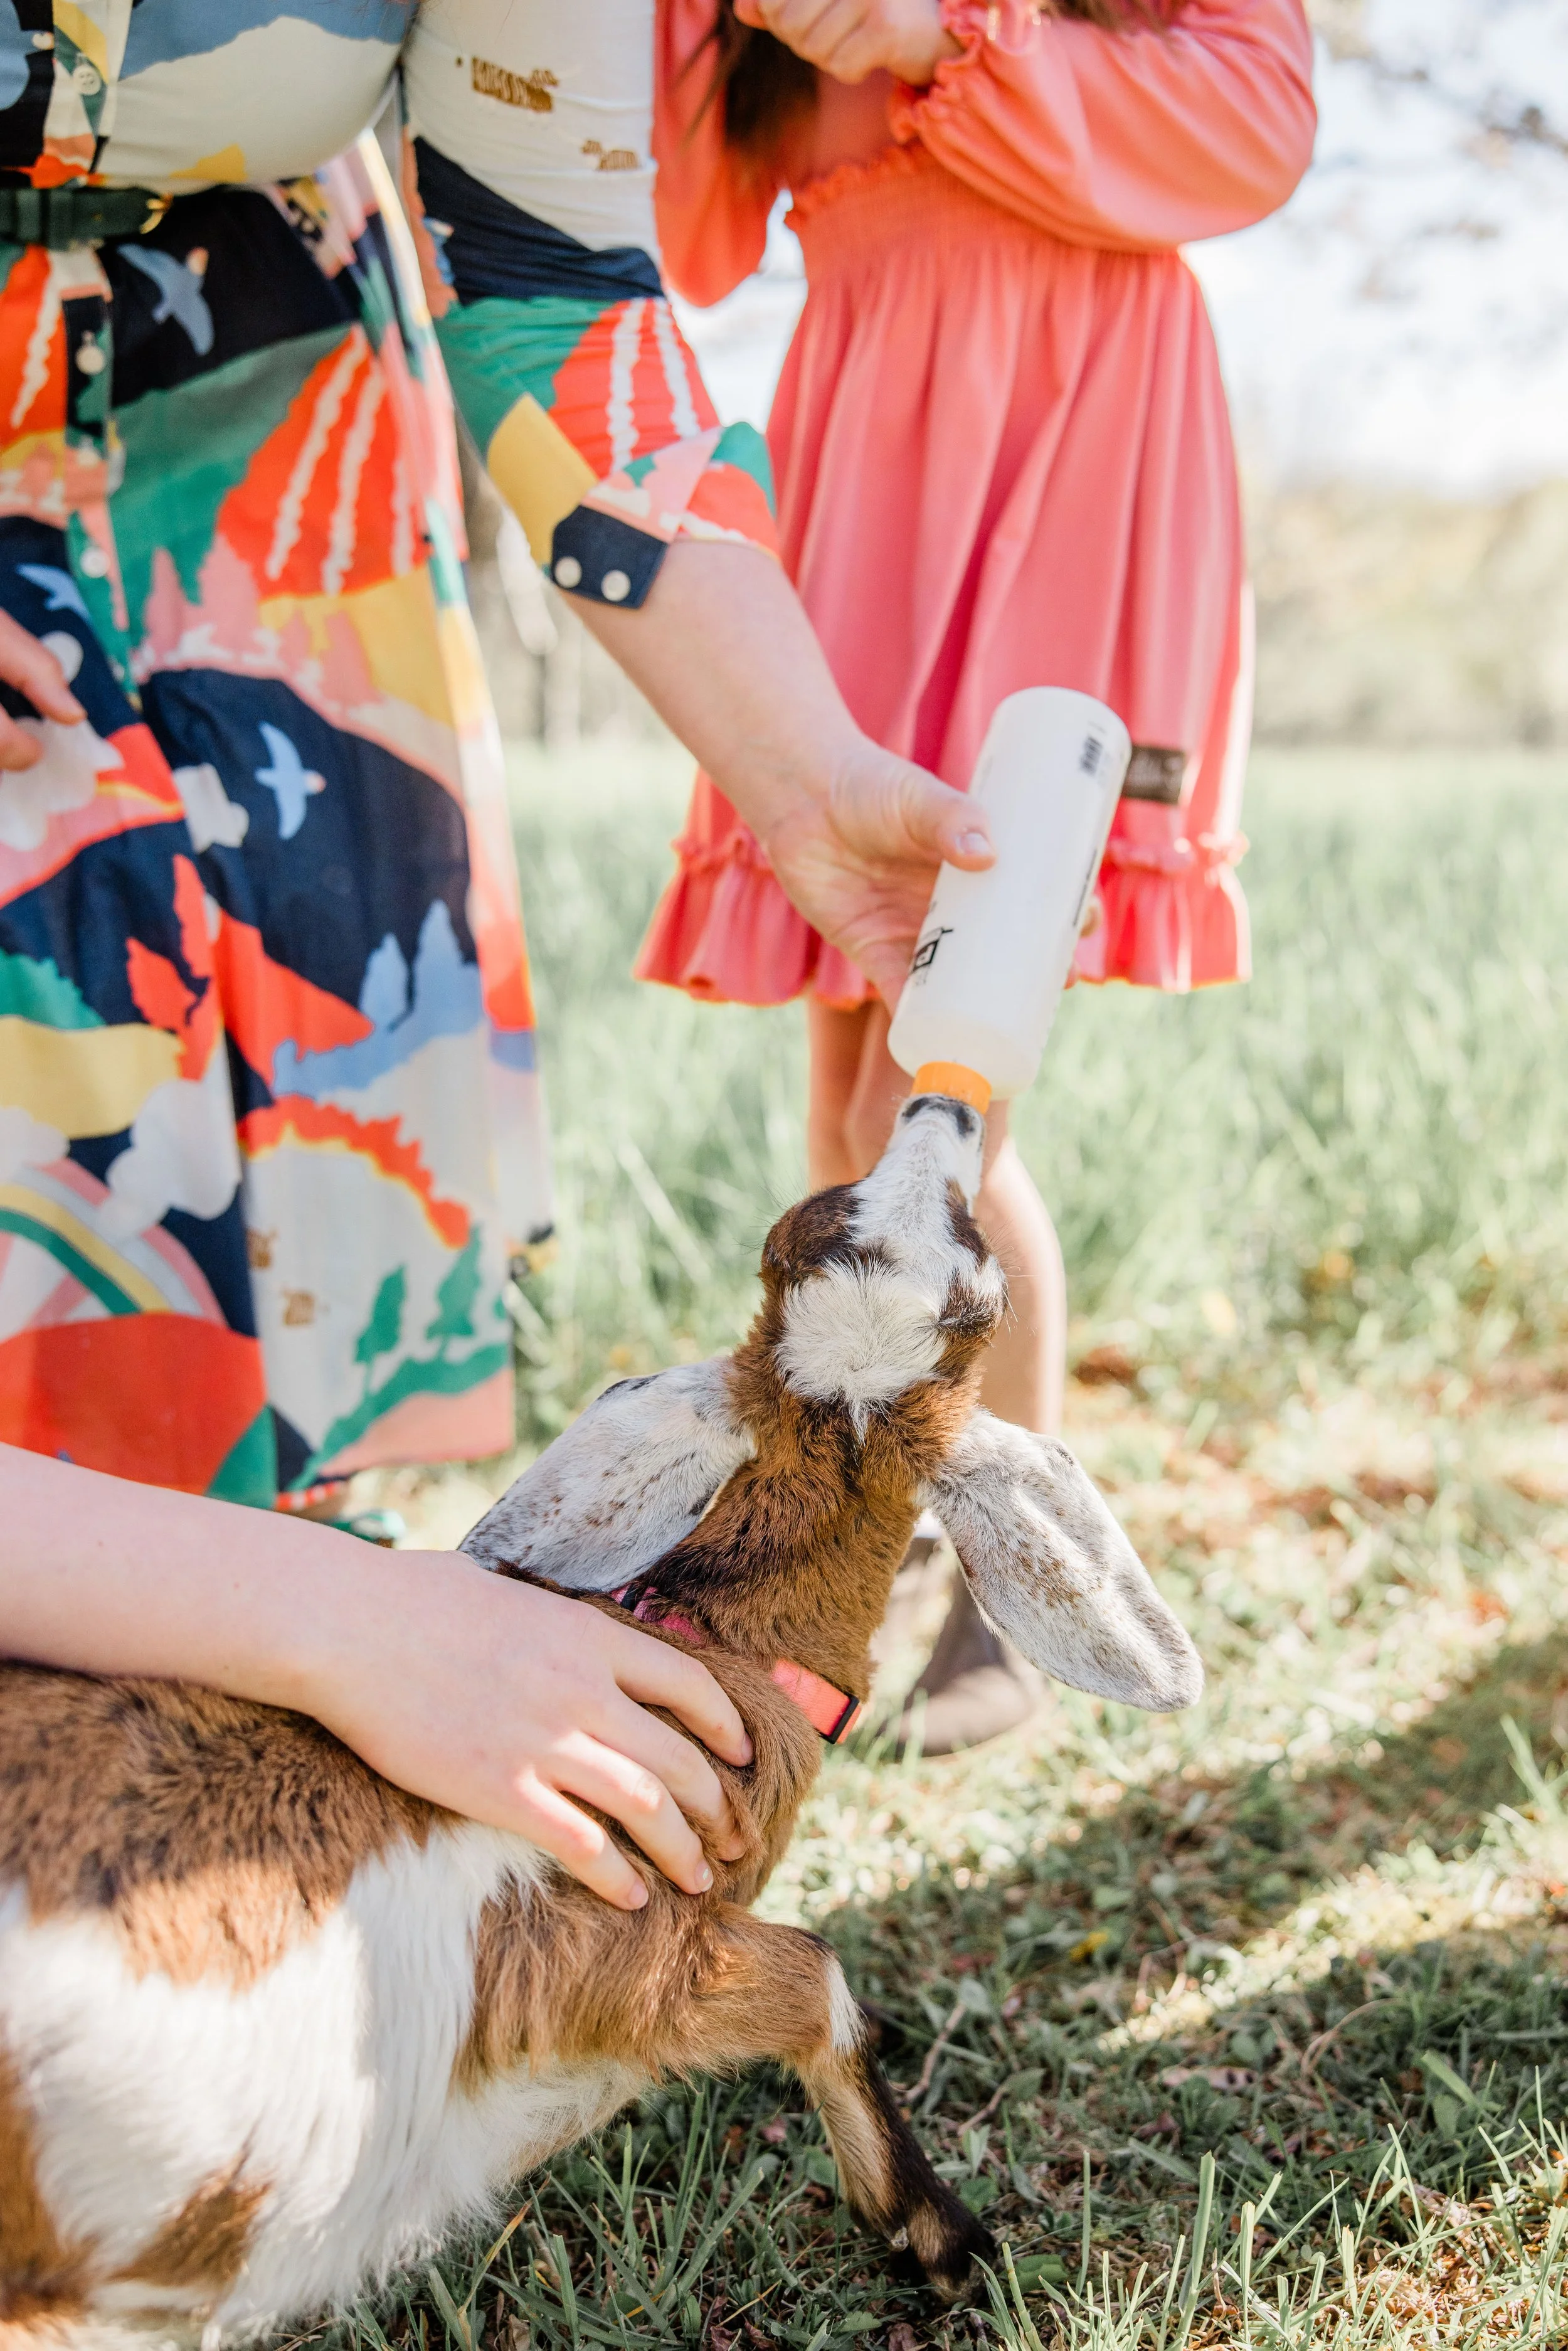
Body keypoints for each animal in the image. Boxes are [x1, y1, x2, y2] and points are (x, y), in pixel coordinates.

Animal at [0, 1095, 1201, 2348]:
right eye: (985, 1282)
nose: (942, 1104)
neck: (710, 1647)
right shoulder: (621, 1962)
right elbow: (820, 1981)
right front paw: (949, 2244)